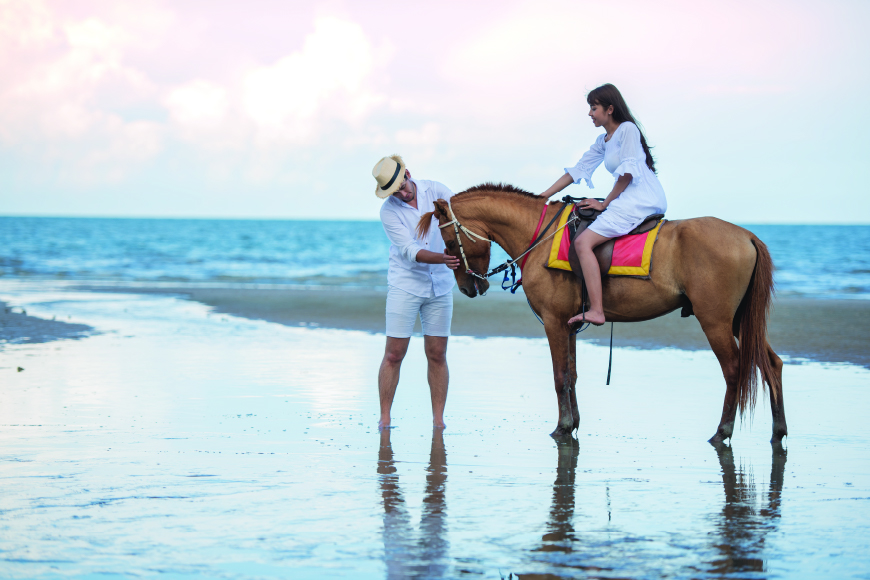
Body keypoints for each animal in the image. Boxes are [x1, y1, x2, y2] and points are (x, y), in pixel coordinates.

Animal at [417, 183, 787, 444]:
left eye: (449, 242)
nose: (468, 287)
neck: (540, 237)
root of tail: (747, 235)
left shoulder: (554, 322)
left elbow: (560, 376)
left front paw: (563, 426)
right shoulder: (568, 324)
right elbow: (572, 374)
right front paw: (573, 424)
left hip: (716, 321)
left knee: (735, 369)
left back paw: (723, 431)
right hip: (740, 321)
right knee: (771, 364)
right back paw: (778, 430)